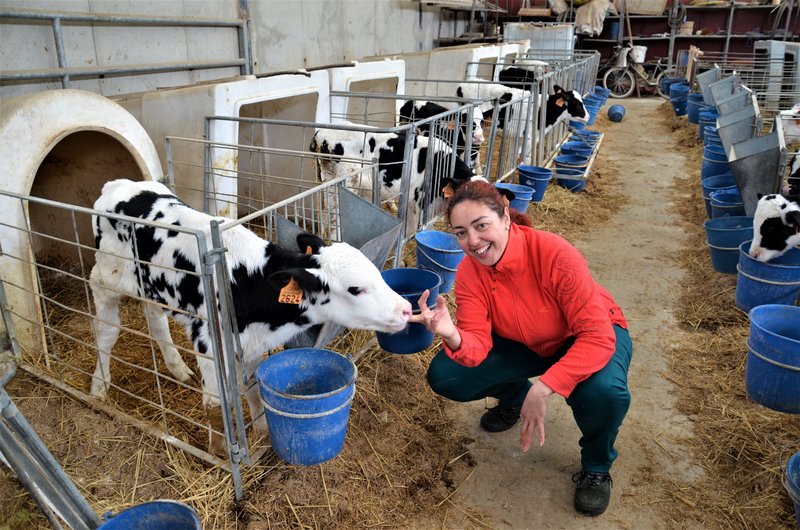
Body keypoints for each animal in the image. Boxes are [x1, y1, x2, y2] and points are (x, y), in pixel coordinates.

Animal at [89, 177, 412, 454]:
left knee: (156, 322)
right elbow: (214, 404)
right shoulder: (208, 342)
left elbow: (253, 387)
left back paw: (177, 368)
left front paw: (261, 431)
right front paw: (219, 452)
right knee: (106, 330)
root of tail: (117, 185)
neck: (246, 281)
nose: (406, 310)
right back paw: (98, 387)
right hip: (106, 276)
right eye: (355, 289)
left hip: (150, 286)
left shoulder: (250, 343)